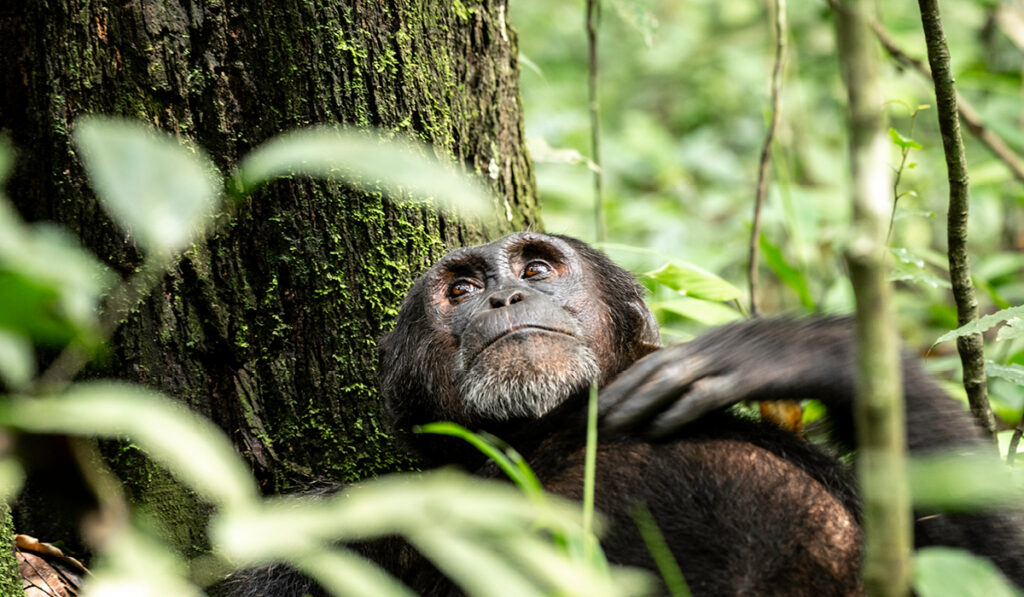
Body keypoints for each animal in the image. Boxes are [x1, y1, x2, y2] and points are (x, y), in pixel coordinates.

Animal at [224, 232, 1024, 596]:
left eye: (537, 267)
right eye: (459, 290)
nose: (504, 296)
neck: (548, 438)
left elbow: (992, 566)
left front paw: (792, 349)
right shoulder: (340, 524)